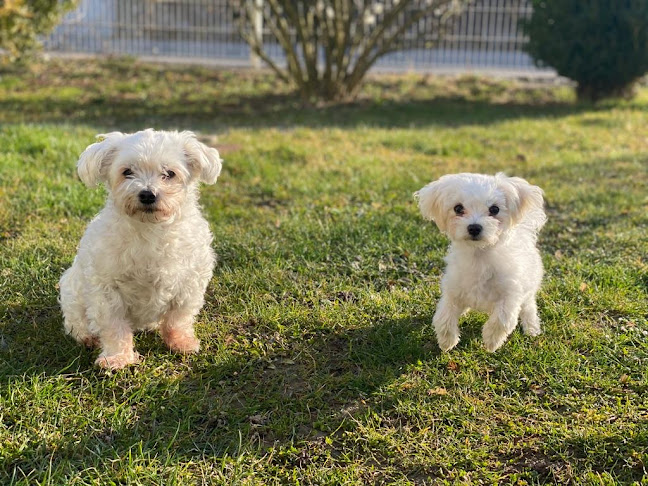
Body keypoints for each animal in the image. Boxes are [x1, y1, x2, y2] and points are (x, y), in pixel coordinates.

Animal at [60, 128, 223, 368]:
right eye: (127, 172)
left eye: (169, 173)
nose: (147, 194)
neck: (151, 229)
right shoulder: (106, 289)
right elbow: (114, 326)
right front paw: (118, 357)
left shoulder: (190, 283)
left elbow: (178, 318)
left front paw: (181, 342)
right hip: (72, 291)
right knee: (76, 320)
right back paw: (87, 336)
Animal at [416, 173, 548, 352]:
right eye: (458, 208)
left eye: (494, 209)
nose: (474, 227)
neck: (479, 256)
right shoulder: (452, 290)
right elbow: (443, 316)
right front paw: (447, 341)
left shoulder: (510, 294)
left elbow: (503, 319)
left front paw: (491, 341)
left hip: (528, 288)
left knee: (528, 307)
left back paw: (531, 327)